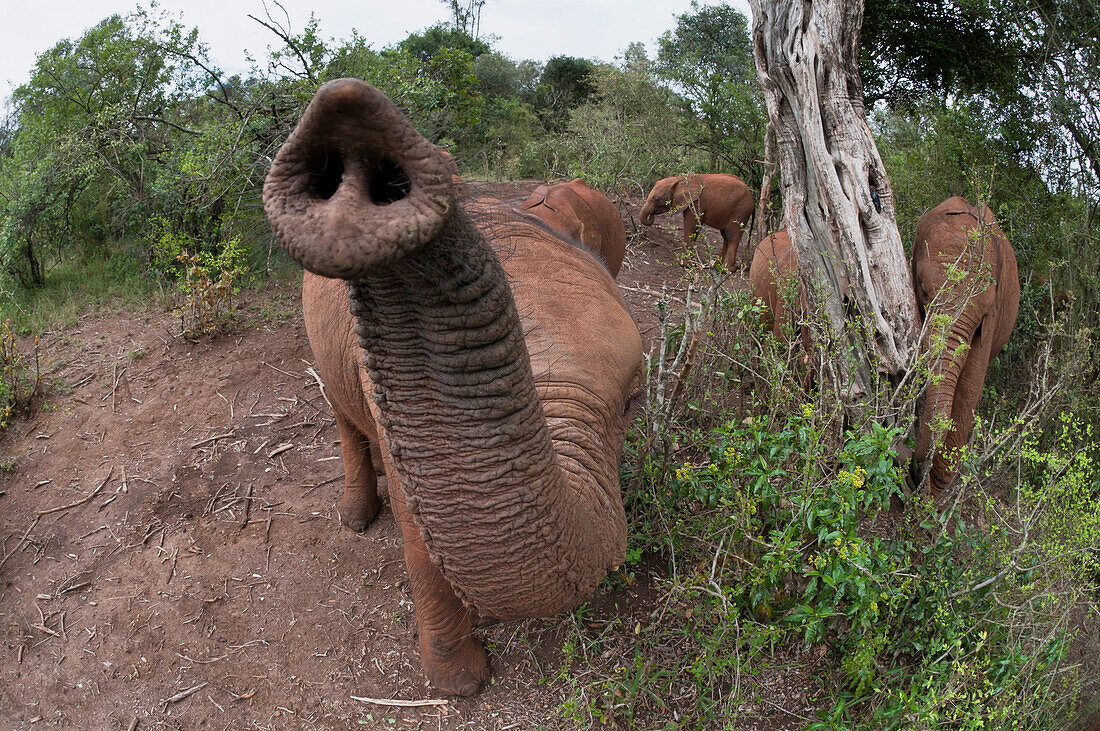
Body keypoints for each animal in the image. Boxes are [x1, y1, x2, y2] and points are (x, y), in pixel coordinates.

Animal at [262, 79, 642, 694]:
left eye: (633, 403)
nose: (358, 150)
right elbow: (417, 537)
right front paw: (463, 685)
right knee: (341, 413)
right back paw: (358, 516)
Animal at [910, 196, 1020, 499]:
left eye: (983, 313)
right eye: (923, 290)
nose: (911, 457)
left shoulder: (992, 318)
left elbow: (970, 386)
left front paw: (931, 497)